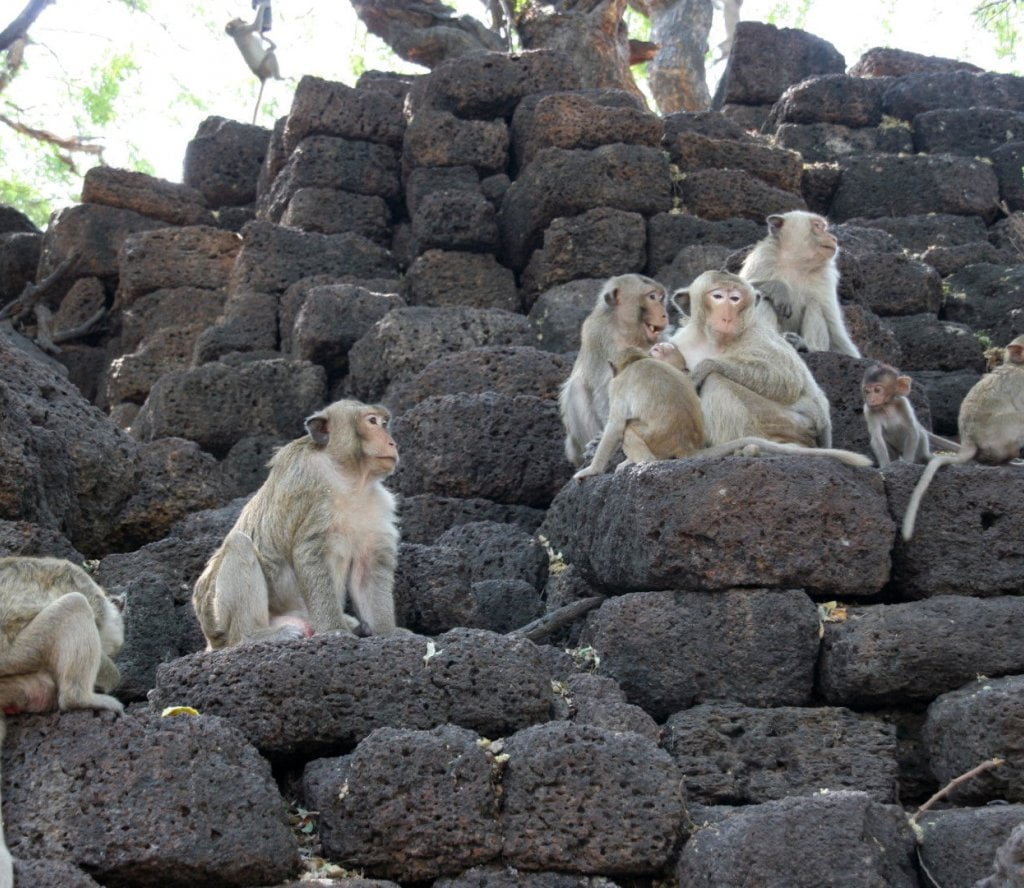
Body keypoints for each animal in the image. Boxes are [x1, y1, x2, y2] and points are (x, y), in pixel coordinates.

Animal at [193, 400, 400, 650]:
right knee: (238, 543)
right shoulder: (311, 489)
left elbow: (369, 567)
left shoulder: (377, 504)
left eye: (384, 423)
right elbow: (310, 554)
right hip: (217, 619)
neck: (349, 477)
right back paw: (252, 636)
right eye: (372, 422)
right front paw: (335, 631)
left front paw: (388, 633)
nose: (392, 442)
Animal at [559, 274, 670, 466]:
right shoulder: (599, 337)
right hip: (574, 445)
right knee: (576, 387)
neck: (627, 332)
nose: (665, 314)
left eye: (661, 298)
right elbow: (606, 390)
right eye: (652, 297)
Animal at [573, 347, 706, 480]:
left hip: (656, 440)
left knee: (629, 429)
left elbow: (615, 427)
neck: (636, 360)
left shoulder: (616, 386)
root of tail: (685, 445)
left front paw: (592, 470)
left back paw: (645, 462)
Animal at [669, 270, 834, 449]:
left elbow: (788, 380)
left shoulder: (756, 335)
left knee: (716, 380)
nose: (727, 316)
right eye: (718, 296)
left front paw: (704, 367)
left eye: (735, 298)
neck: (715, 341)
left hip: (789, 420)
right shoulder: (681, 341)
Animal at [739, 211, 861, 358]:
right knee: (763, 298)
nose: (834, 238)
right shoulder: (763, 258)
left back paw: (804, 346)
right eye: (817, 226)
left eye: (823, 227)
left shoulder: (825, 278)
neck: (796, 263)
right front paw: (780, 289)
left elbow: (835, 331)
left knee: (814, 304)